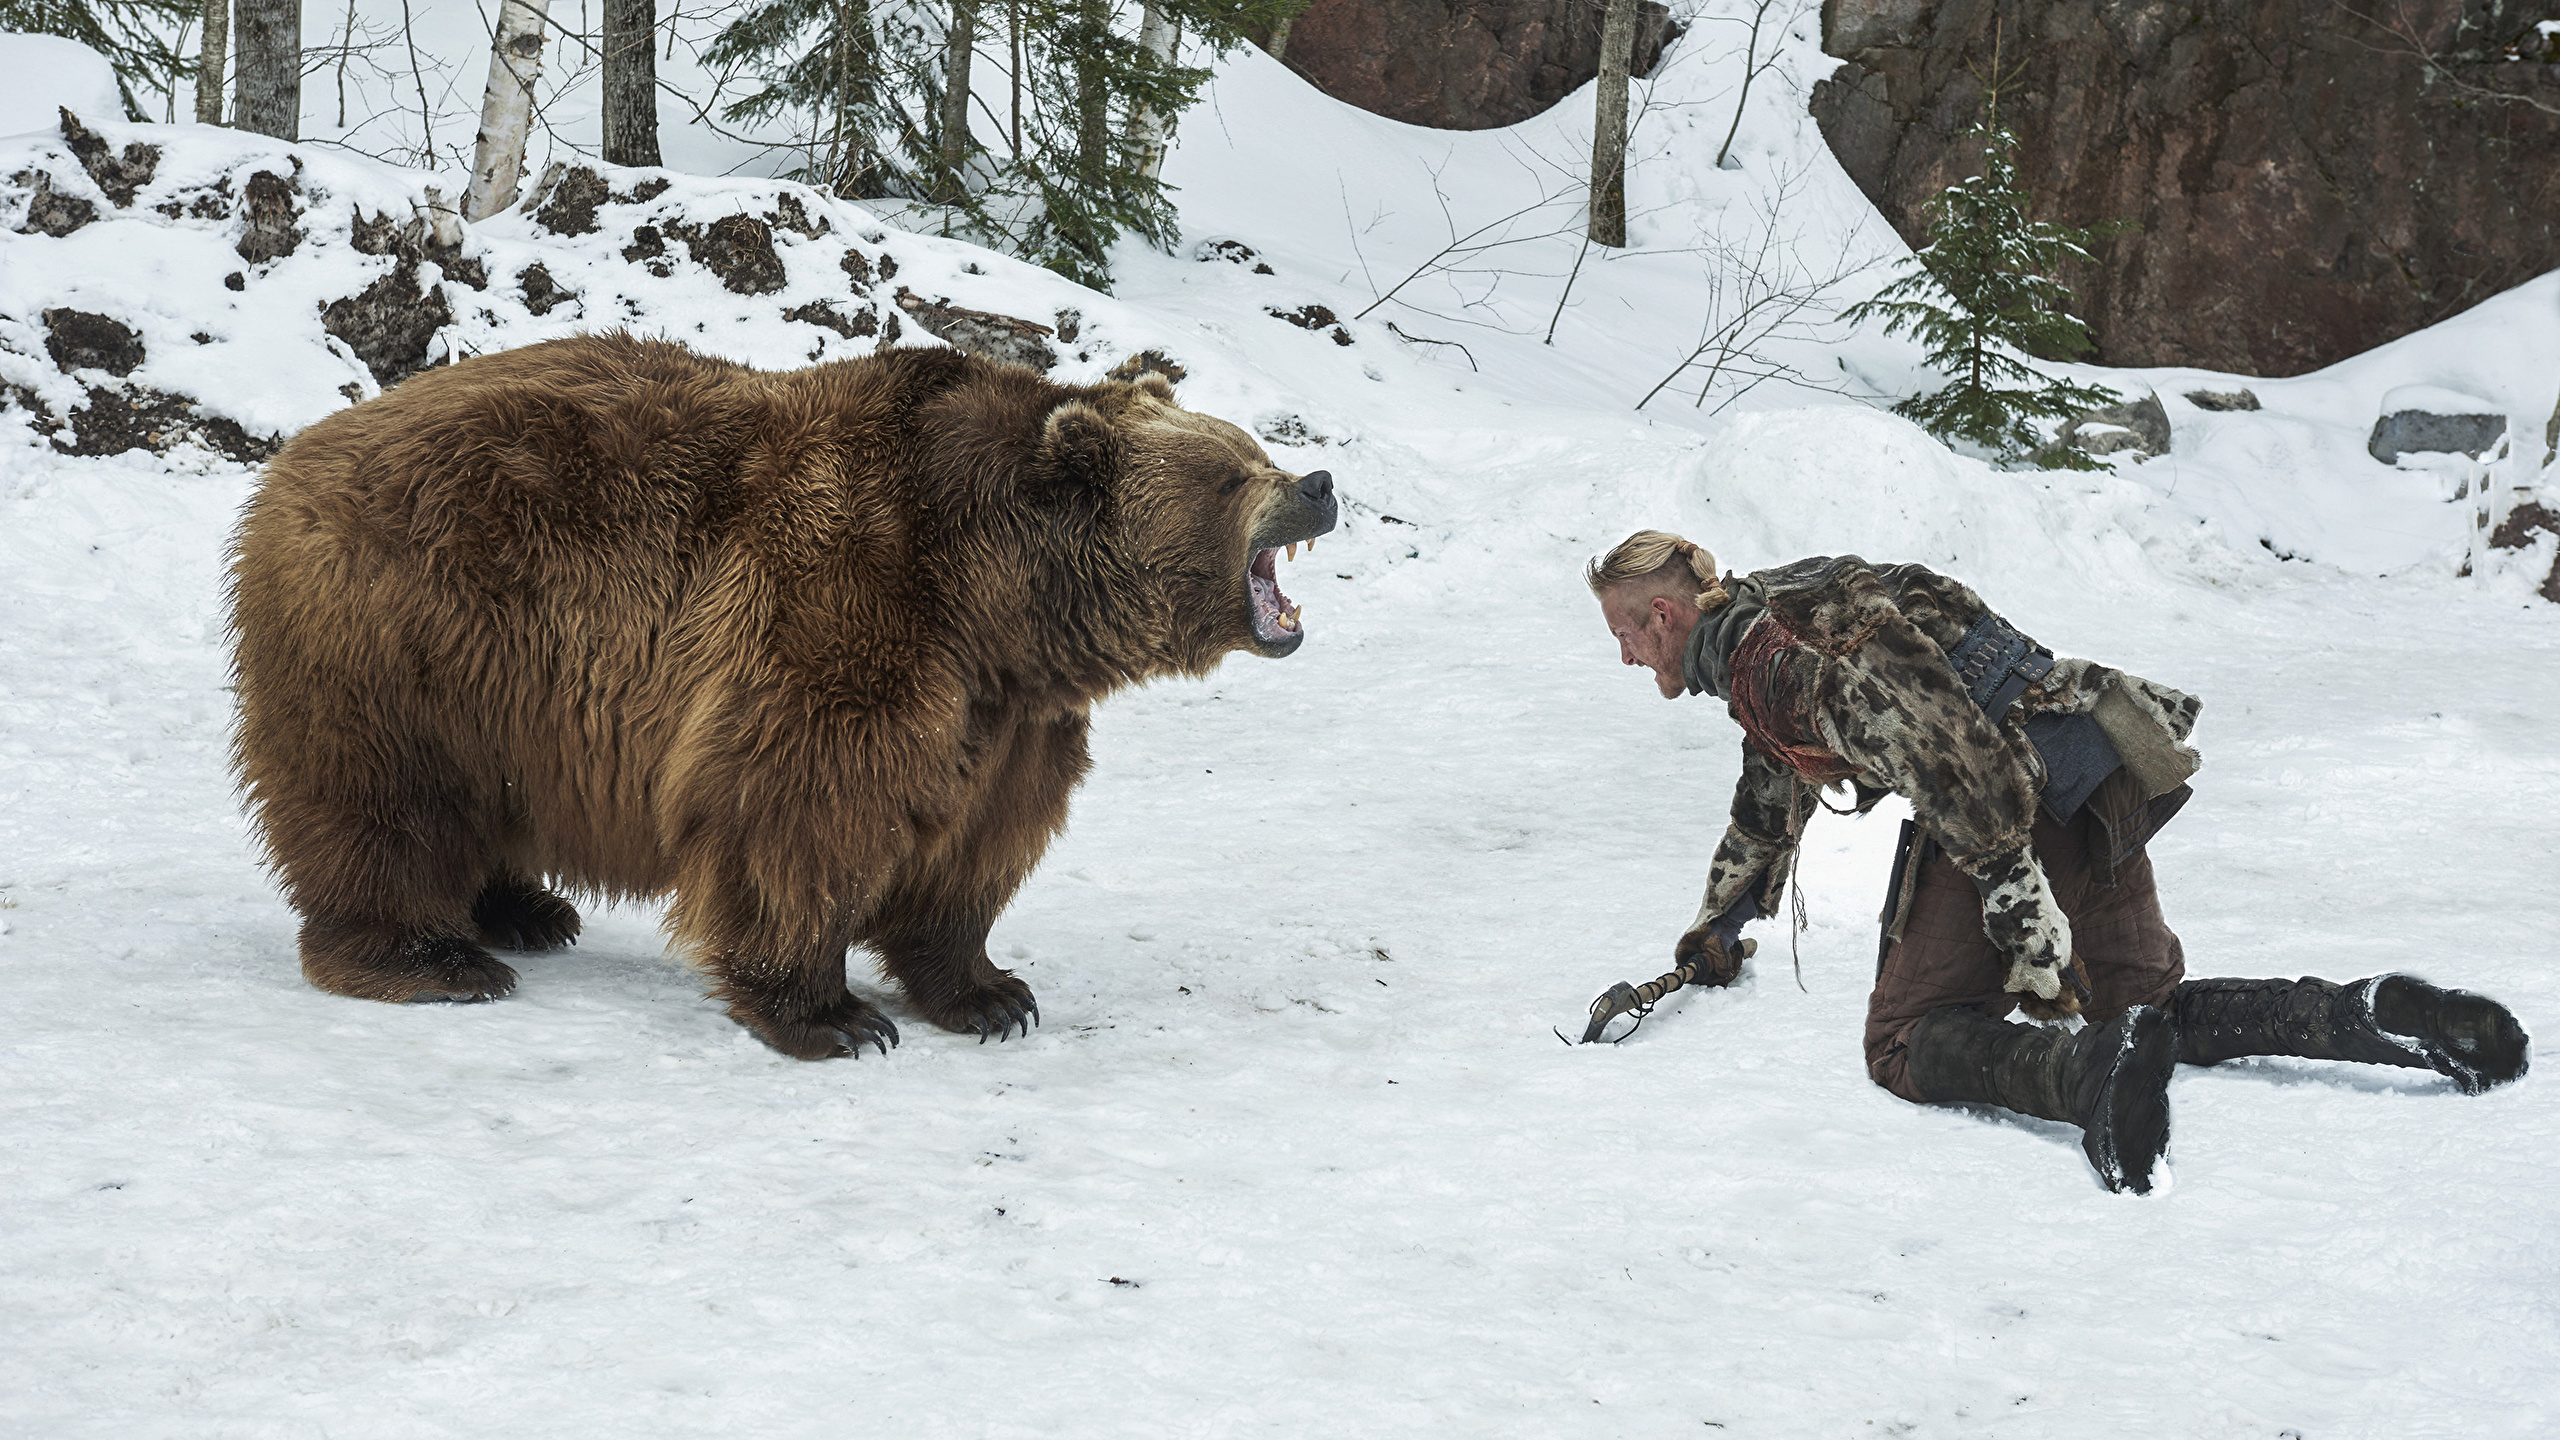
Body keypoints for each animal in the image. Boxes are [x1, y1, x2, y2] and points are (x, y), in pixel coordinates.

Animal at [230, 333, 1341, 1055]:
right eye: (1231, 473)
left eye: (1255, 450)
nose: (1319, 482)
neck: (999, 602)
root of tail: (295, 456)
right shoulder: (846, 611)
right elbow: (799, 809)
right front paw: (835, 1016)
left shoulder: (1009, 715)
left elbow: (979, 844)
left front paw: (990, 993)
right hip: (410, 630)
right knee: (382, 797)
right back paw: (429, 958)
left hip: (494, 680)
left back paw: (526, 910)